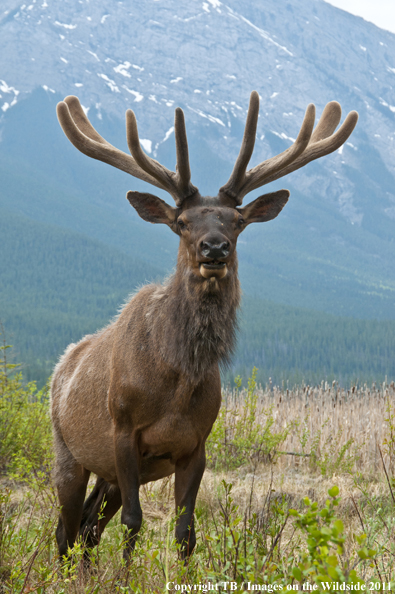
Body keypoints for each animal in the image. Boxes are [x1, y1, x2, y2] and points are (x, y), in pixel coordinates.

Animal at [50, 91, 358, 560]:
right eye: (181, 223)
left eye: (238, 221)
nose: (215, 248)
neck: (175, 382)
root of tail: (63, 365)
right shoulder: (123, 432)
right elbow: (133, 522)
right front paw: (124, 572)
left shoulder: (196, 445)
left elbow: (186, 532)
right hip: (67, 450)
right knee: (65, 532)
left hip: (110, 474)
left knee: (87, 528)